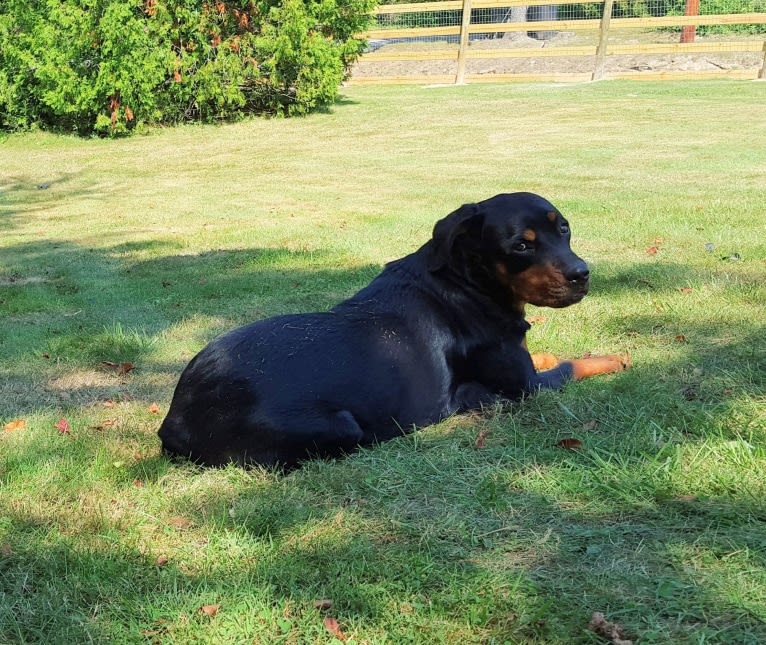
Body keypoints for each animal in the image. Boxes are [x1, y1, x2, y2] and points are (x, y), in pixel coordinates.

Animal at [159, 192, 632, 468]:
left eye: (564, 228)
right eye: (521, 245)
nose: (582, 274)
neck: (466, 283)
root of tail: (174, 420)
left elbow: (548, 356)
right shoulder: (527, 388)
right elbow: (571, 367)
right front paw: (614, 358)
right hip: (341, 427)